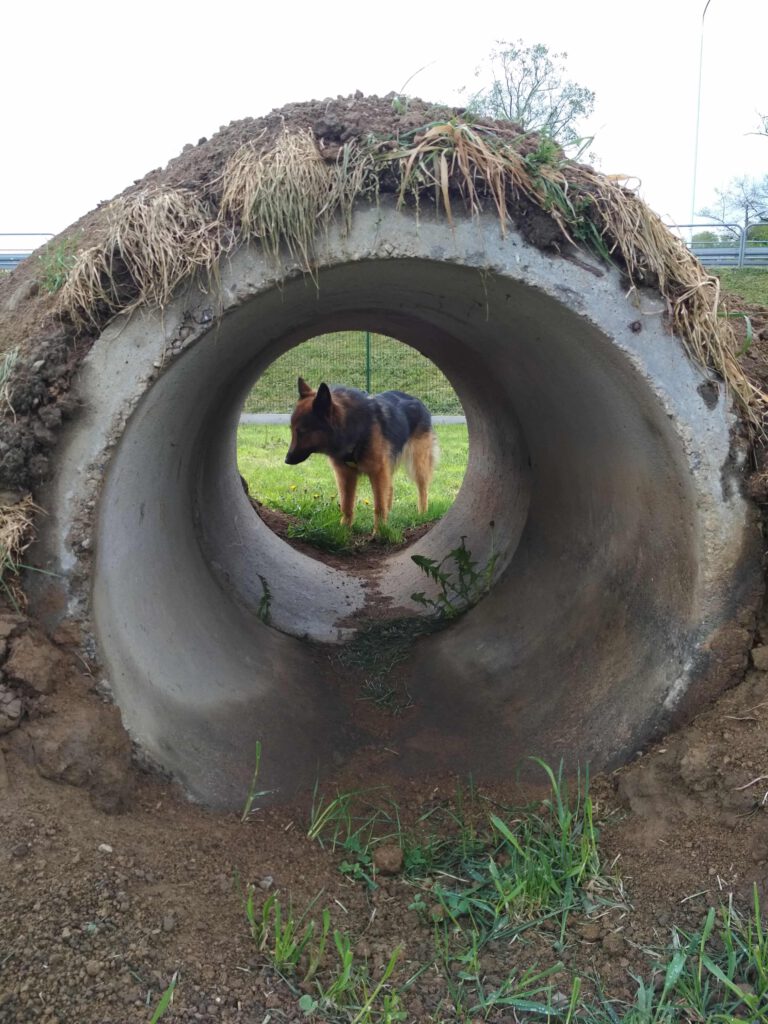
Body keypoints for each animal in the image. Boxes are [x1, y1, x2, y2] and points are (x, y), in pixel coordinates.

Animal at [284, 378, 438, 536]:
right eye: (292, 430)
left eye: (302, 431)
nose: (287, 460)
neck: (354, 427)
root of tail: (418, 401)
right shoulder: (345, 475)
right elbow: (346, 505)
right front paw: (344, 529)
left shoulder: (377, 472)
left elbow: (379, 506)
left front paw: (379, 532)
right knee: (390, 487)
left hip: (418, 464)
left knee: (423, 488)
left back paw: (422, 514)